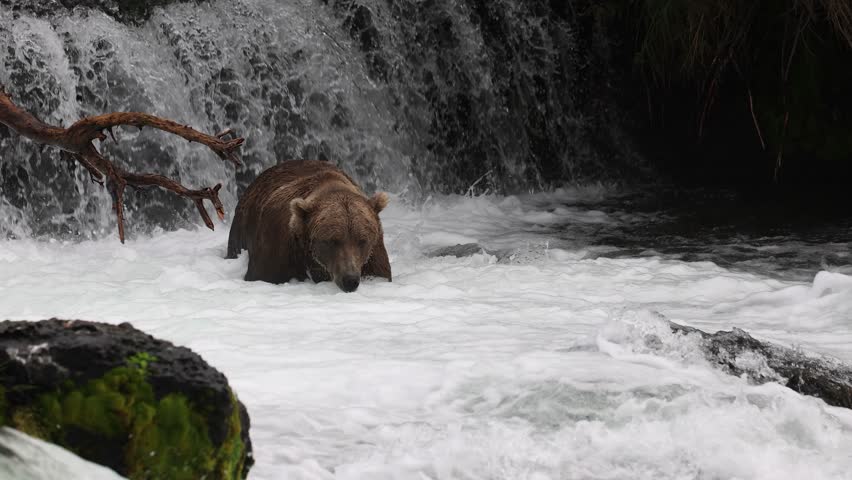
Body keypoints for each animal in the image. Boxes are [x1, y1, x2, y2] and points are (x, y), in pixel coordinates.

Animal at [226, 160, 392, 292]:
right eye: (332, 241)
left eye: (362, 240)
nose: (350, 280)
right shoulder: (277, 245)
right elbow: (263, 274)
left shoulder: (373, 256)